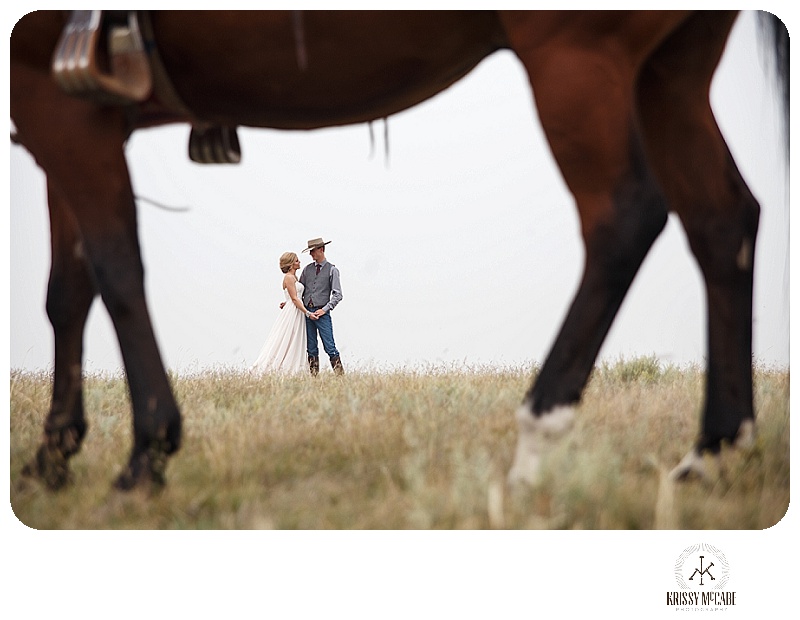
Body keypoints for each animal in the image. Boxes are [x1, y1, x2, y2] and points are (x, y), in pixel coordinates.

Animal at [10, 9, 788, 492]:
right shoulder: (73, 117)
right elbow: (66, 292)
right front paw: (53, 458)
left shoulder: (59, 102)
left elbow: (114, 272)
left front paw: (143, 455)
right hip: (670, 67)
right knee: (723, 220)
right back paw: (711, 454)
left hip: (577, 54)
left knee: (623, 219)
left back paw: (538, 443)